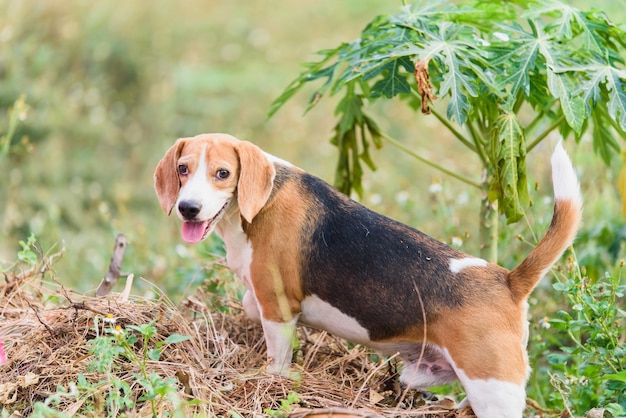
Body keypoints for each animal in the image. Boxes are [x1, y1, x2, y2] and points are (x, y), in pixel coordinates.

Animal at [155, 132, 580, 416]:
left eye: (223, 173)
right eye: (183, 169)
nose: (188, 208)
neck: (258, 204)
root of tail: (508, 280)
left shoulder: (278, 309)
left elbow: (276, 360)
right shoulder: (264, 298)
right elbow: (248, 304)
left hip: (493, 389)